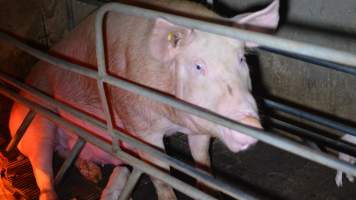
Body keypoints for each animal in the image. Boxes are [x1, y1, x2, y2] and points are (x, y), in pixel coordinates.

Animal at [7, 0, 278, 200]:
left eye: (241, 59)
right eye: (198, 65)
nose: (250, 124)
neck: (173, 120)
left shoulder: (199, 128)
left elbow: (203, 162)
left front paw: (209, 190)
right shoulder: (140, 128)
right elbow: (161, 175)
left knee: (68, 153)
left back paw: (93, 174)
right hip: (36, 123)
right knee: (43, 169)